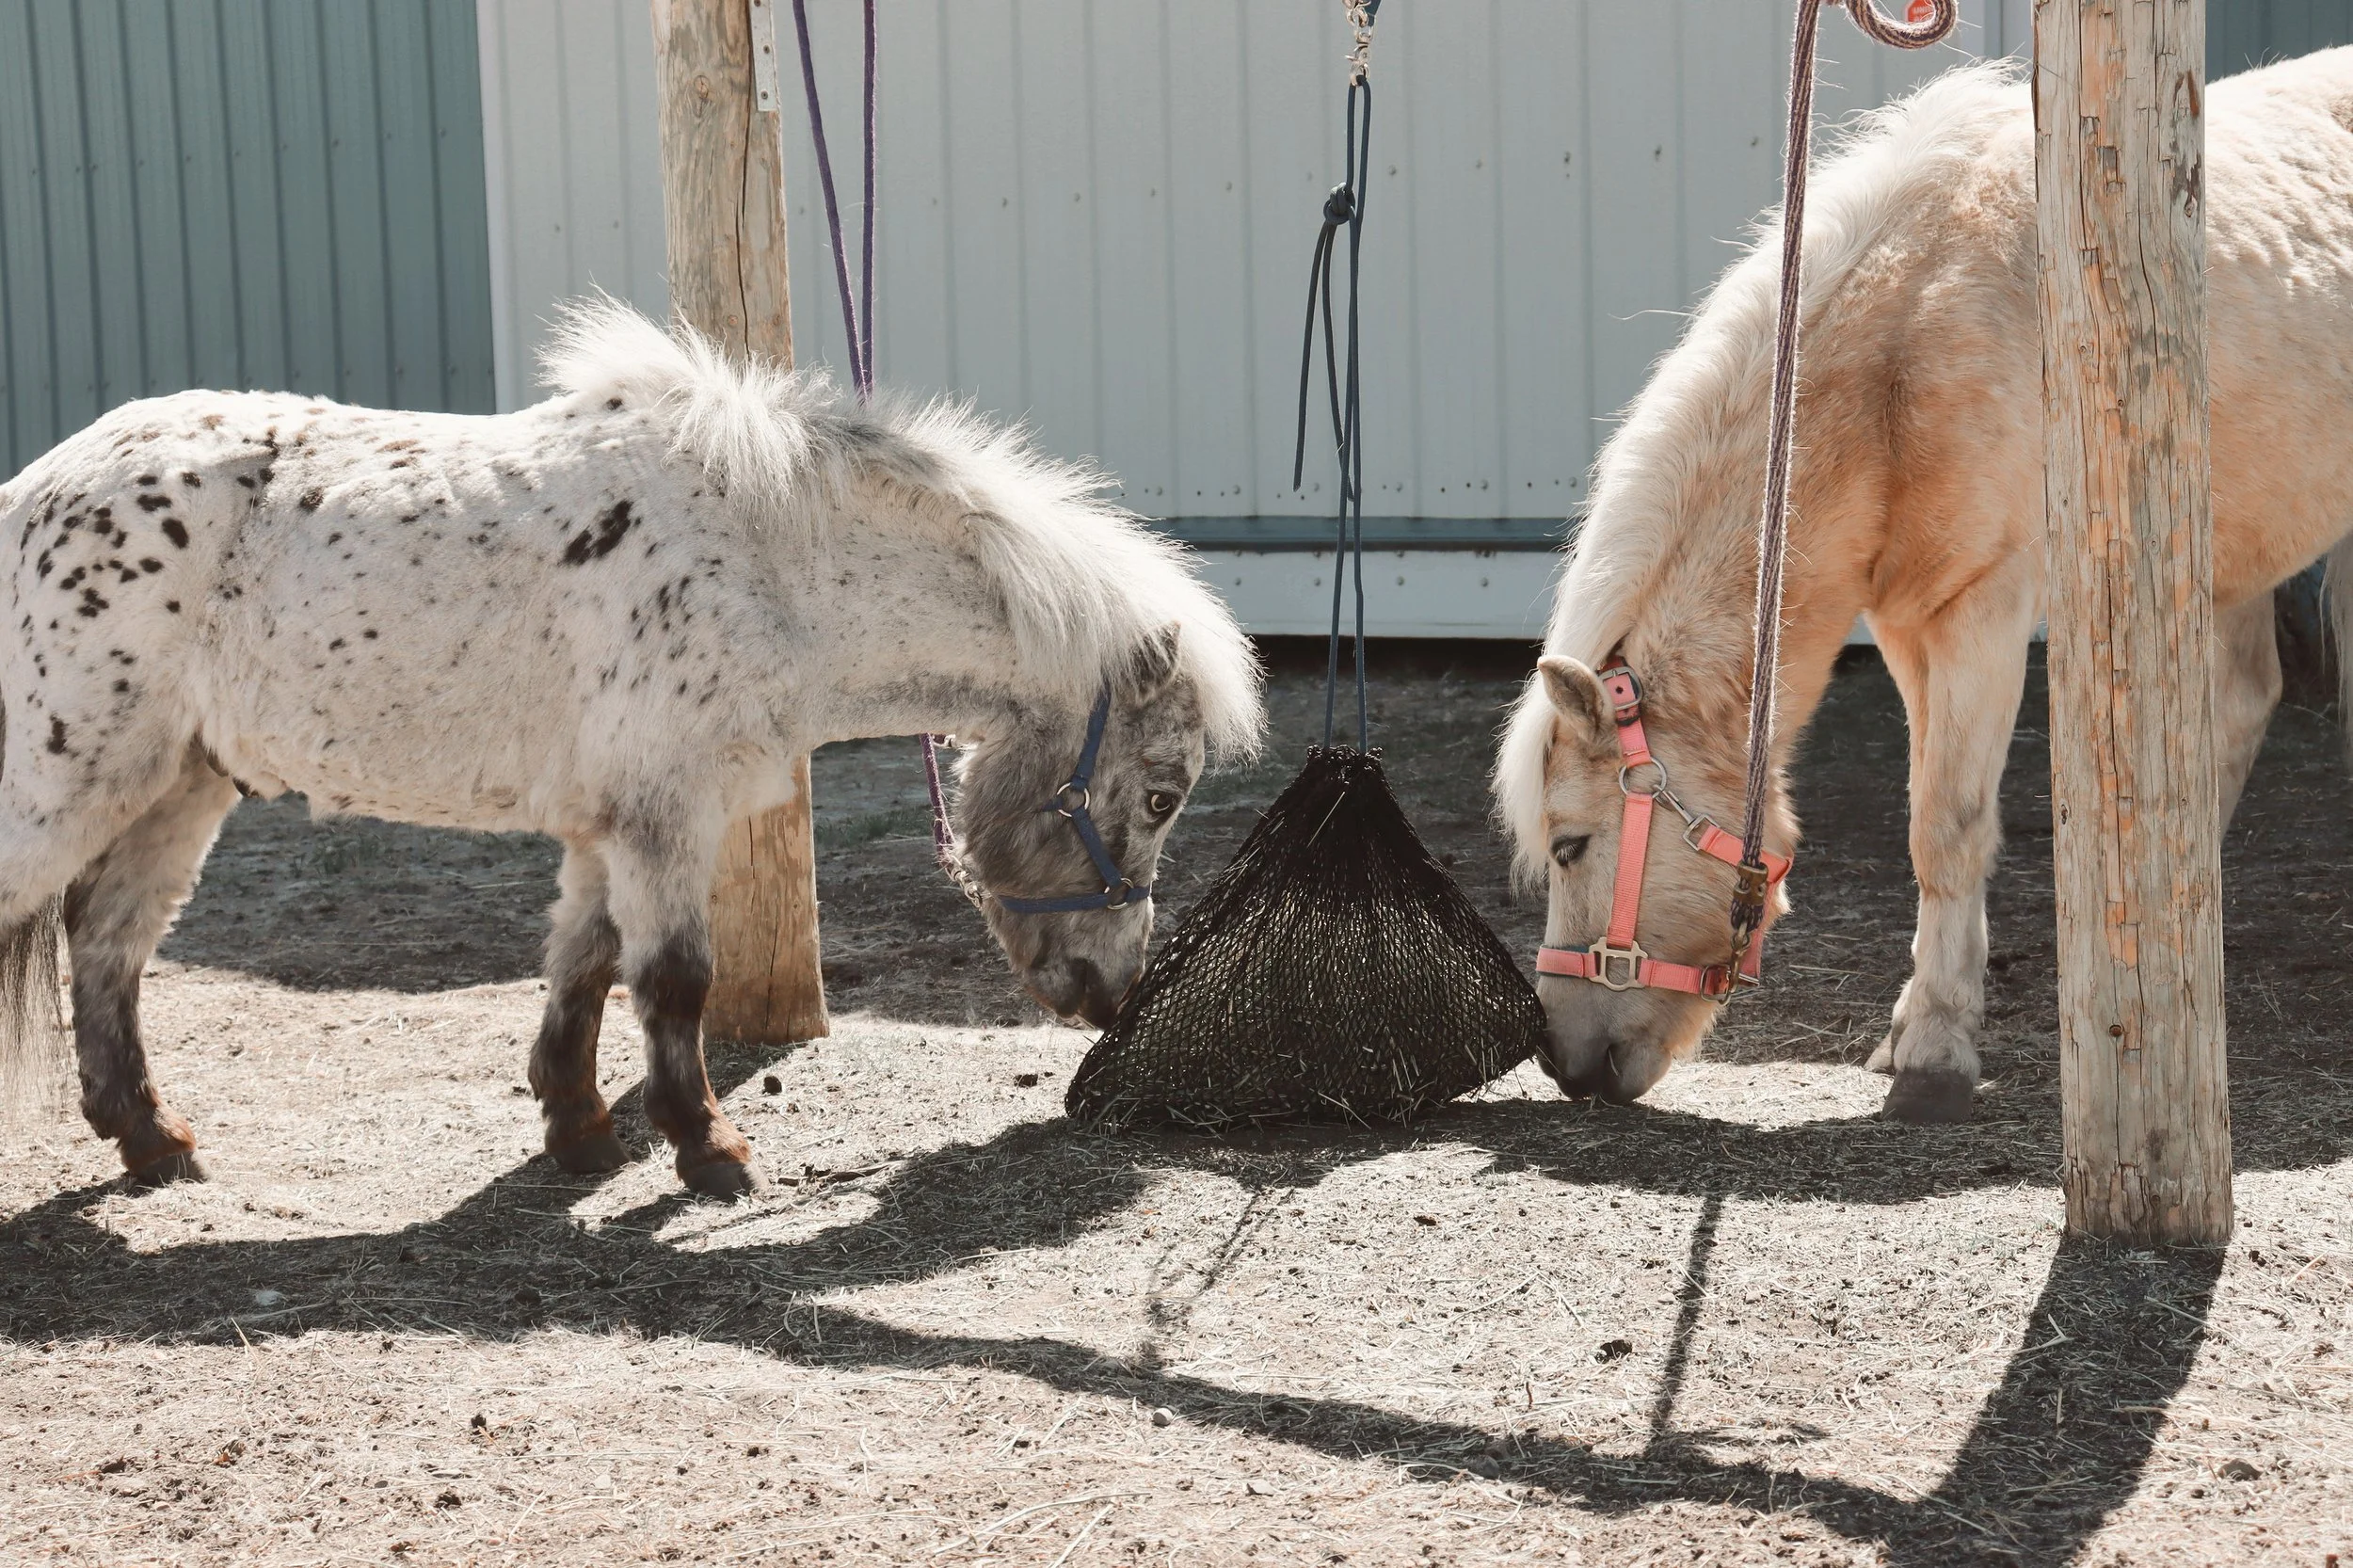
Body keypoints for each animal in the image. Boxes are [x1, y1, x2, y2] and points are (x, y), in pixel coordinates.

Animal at [0, 300, 1262, 1195]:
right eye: (1161, 795)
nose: (1111, 989)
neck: (769, 558)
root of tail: (33, 495)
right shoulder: (666, 813)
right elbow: (672, 977)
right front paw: (708, 1149)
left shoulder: (609, 821)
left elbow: (584, 961)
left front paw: (578, 1128)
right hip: (67, 785)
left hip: (178, 786)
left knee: (108, 945)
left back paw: (151, 1140)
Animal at [1495, 50, 2353, 1123]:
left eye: (1570, 843)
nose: (1565, 1063)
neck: (1906, 339)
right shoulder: (1907, 629)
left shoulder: (1982, 610)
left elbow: (1947, 825)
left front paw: (1937, 1053)